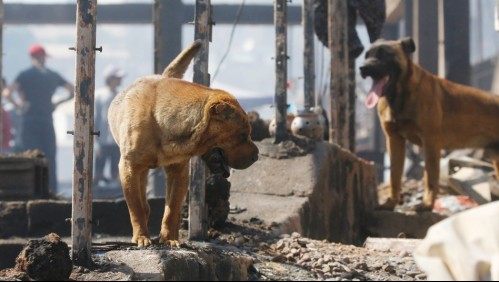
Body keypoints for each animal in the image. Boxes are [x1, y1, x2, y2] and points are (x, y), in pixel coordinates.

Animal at [108, 40, 260, 247]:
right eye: (243, 135)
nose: (257, 155)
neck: (161, 122)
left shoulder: (178, 172)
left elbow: (171, 209)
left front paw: (169, 239)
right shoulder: (128, 167)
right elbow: (136, 207)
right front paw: (141, 236)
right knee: (141, 200)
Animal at [362, 37, 499, 209]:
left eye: (384, 54)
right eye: (366, 55)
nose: (362, 68)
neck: (398, 94)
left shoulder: (430, 142)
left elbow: (430, 177)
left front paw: (426, 204)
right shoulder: (394, 140)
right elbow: (394, 176)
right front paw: (391, 202)